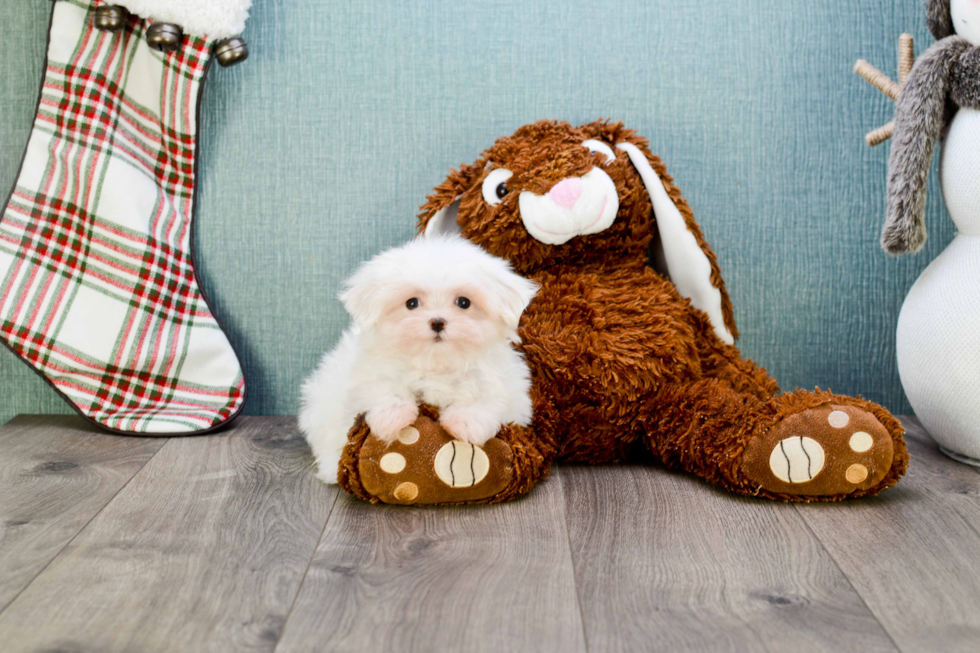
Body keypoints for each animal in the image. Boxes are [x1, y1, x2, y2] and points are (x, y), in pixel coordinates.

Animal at [300, 237, 540, 482]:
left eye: (463, 302)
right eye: (412, 303)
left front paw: (466, 422)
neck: (434, 362)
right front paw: (392, 417)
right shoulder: (367, 373)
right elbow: (381, 387)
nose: (437, 322)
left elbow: (489, 397)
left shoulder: (506, 386)